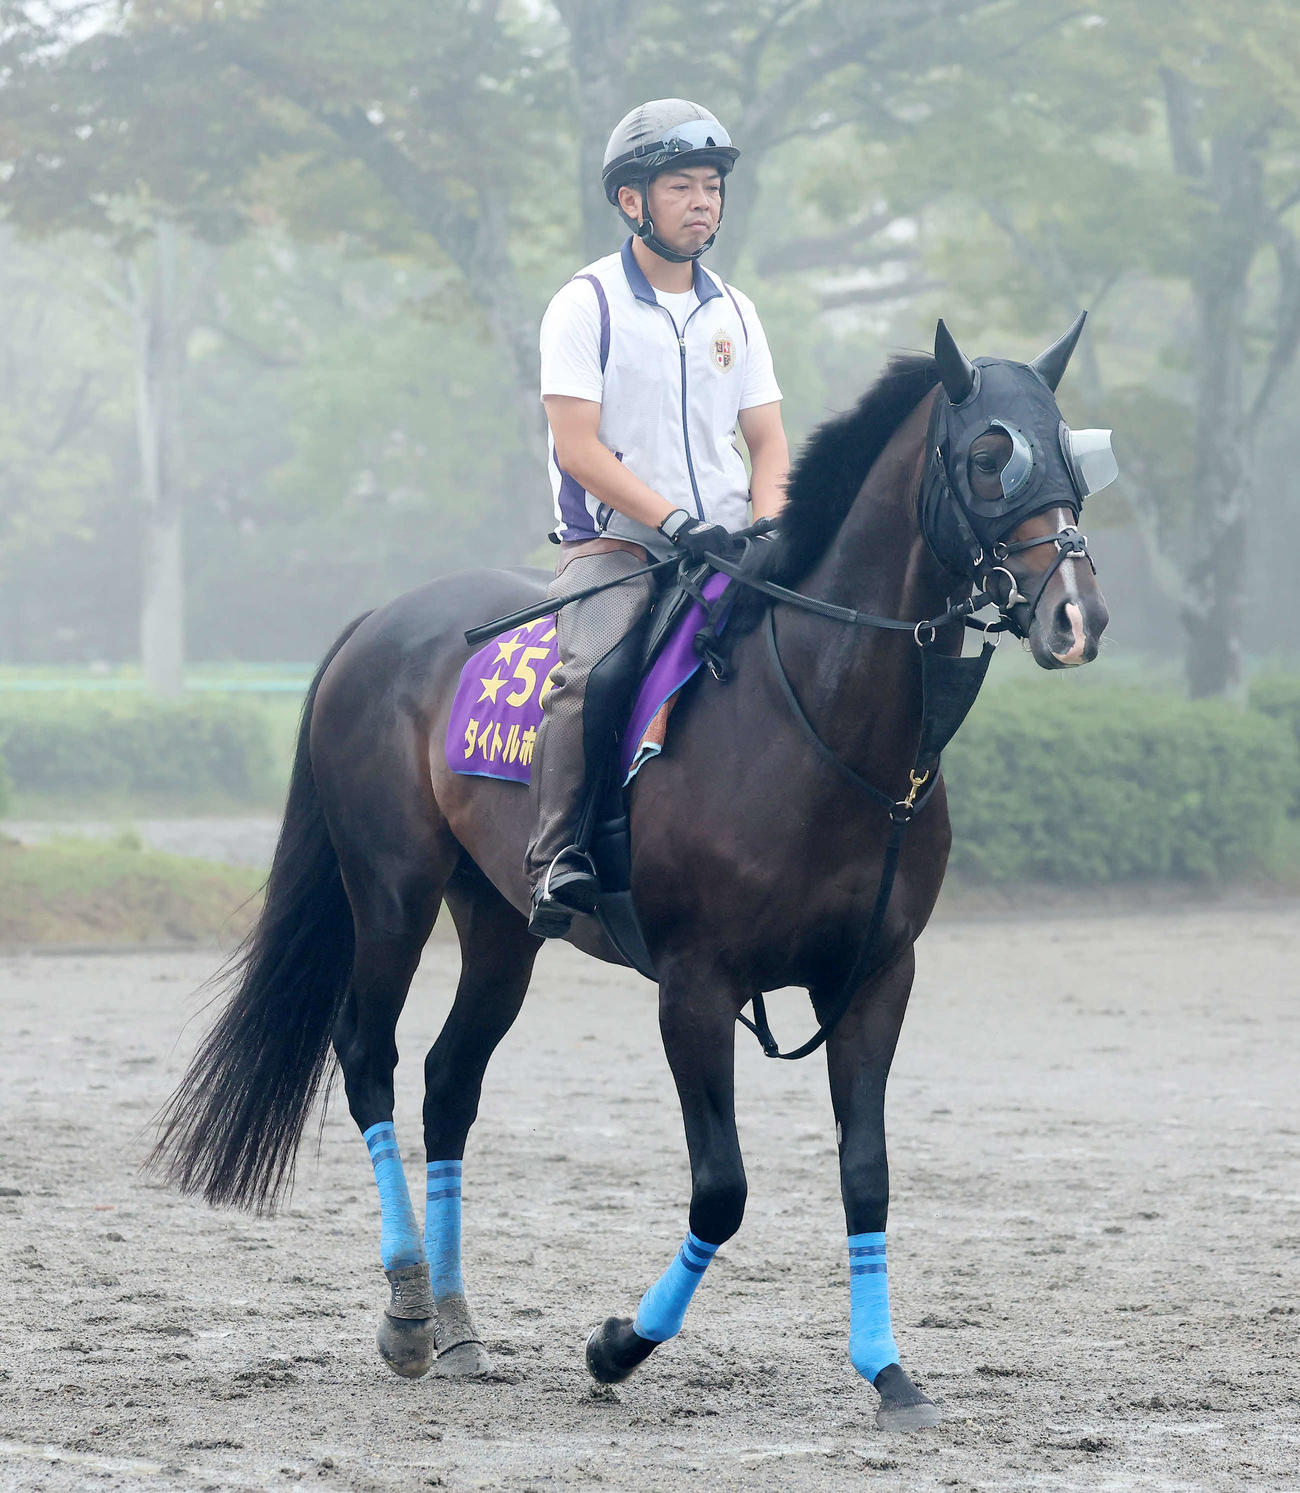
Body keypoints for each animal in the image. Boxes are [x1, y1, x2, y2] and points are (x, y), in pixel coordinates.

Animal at [151, 317, 1111, 1432]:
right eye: (991, 457)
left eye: (1072, 453)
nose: (1076, 617)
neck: (820, 716)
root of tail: (383, 618)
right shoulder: (696, 985)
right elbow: (722, 1189)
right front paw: (618, 1344)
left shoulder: (876, 976)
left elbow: (866, 1174)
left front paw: (888, 1370)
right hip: (390, 894)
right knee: (369, 1057)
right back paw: (407, 1312)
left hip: (500, 924)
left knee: (448, 1080)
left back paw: (459, 1325)